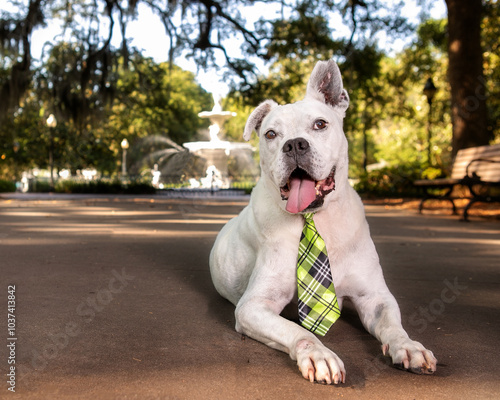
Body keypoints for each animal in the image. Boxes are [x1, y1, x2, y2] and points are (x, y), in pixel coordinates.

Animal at [209, 60, 436, 384]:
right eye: (270, 134)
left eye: (320, 124)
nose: (294, 144)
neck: (315, 219)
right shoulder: (253, 306)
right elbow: (300, 331)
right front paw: (319, 354)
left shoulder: (375, 297)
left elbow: (393, 325)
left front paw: (409, 346)